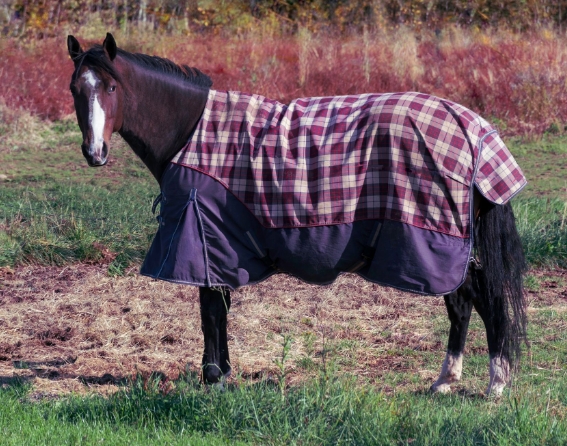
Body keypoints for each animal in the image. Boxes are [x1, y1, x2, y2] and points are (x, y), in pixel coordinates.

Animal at [69, 34, 532, 398]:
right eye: (76, 89)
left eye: (111, 86)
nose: (95, 153)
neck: (192, 132)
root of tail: (472, 129)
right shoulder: (214, 246)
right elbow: (218, 310)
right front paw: (222, 373)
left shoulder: (202, 239)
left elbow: (210, 312)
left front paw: (213, 377)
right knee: (462, 305)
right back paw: (446, 381)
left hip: (444, 243)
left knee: (484, 302)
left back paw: (495, 384)